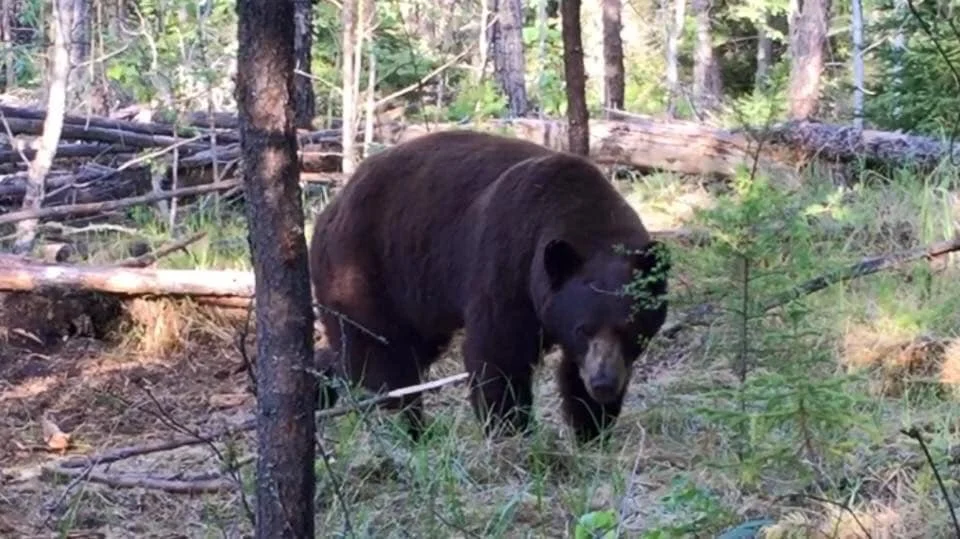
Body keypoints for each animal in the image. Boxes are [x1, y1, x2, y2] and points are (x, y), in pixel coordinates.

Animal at [308, 130, 670, 444]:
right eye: (583, 328)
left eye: (630, 328)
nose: (604, 383)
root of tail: (329, 210)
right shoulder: (509, 262)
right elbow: (498, 353)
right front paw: (512, 432)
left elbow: (574, 374)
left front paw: (592, 429)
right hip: (367, 269)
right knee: (378, 357)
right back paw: (403, 427)